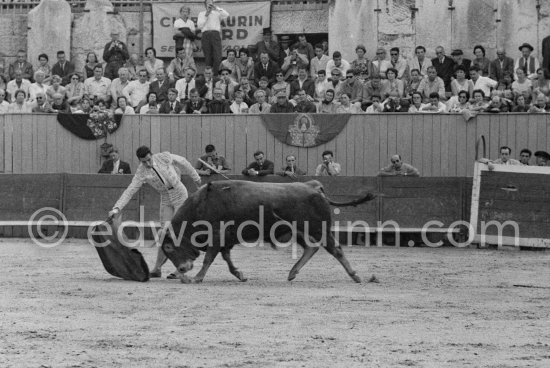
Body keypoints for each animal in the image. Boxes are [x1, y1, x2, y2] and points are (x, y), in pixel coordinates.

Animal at [160, 180, 376, 284]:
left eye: (169, 247)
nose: (182, 270)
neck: (201, 206)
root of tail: (314, 187)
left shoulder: (217, 236)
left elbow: (209, 258)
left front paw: (197, 278)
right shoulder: (226, 240)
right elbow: (227, 259)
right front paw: (240, 274)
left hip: (319, 229)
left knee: (335, 249)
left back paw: (355, 276)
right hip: (299, 231)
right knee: (311, 248)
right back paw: (292, 273)